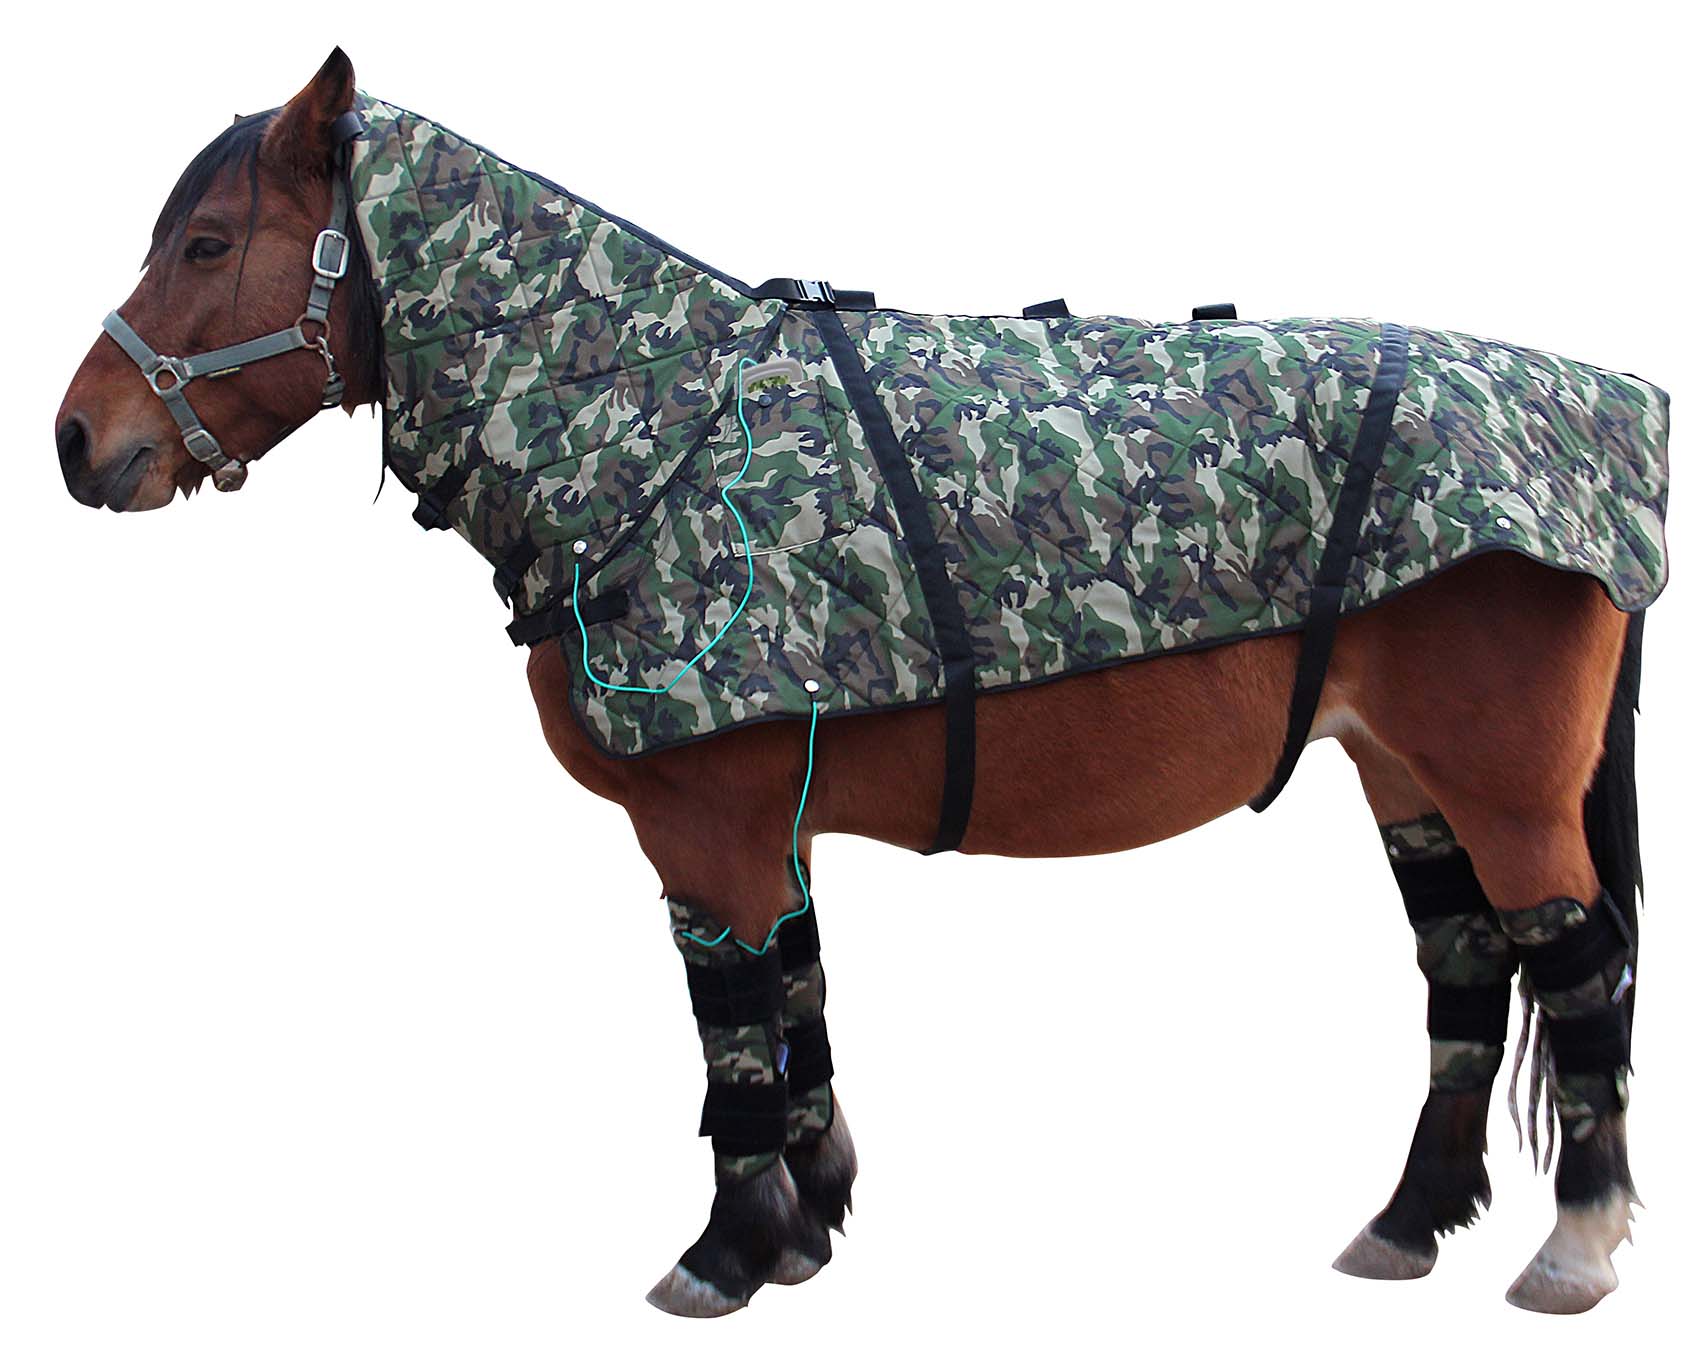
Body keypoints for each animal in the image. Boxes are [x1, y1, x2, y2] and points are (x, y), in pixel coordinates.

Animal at [54, 49, 1664, 1318]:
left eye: (206, 243)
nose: (77, 440)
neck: (656, 426)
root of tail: (1609, 405)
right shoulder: (767, 826)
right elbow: (796, 1006)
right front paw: (810, 1224)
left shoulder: (704, 827)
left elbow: (737, 1038)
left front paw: (730, 1248)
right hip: (1403, 771)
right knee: (1467, 963)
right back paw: (1408, 1219)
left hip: (1508, 785)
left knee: (1577, 963)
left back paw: (1573, 1244)